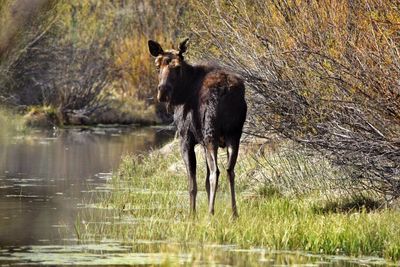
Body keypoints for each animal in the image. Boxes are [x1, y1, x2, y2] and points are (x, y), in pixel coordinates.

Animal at [148, 38, 247, 218]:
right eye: (157, 66)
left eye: (177, 67)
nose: (163, 92)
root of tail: (227, 91)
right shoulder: (202, 143)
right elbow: (205, 183)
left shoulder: (186, 139)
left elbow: (192, 185)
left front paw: (191, 214)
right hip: (234, 135)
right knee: (230, 170)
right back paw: (234, 214)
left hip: (211, 135)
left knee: (216, 172)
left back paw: (210, 213)